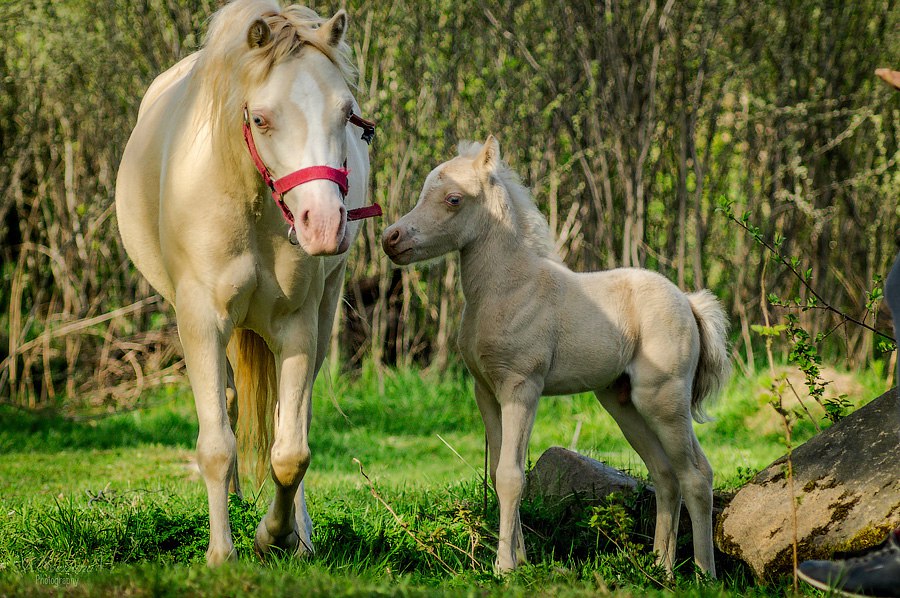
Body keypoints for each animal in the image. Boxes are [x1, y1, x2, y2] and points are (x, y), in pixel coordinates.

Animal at [115, 0, 380, 564]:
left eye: (345, 114)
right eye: (260, 118)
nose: (325, 225)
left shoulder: (298, 327)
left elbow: (290, 450)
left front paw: (275, 536)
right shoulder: (201, 323)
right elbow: (216, 444)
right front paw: (221, 553)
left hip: (323, 313)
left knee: (290, 420)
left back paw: (299, 534)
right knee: (233, 410)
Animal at [382, 138, 732, 580]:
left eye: (453, 199)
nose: (391, 239)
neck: (507, 288)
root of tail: (688, 301)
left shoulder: (522, 388)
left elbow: (512, 476)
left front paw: (504, 568)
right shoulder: (487, 392)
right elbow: (498, 471)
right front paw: (520, 559)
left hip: (664, 401)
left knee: (696, 475)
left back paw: (703, 574)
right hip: (622, 403)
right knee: (666, 476)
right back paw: (660, 569)